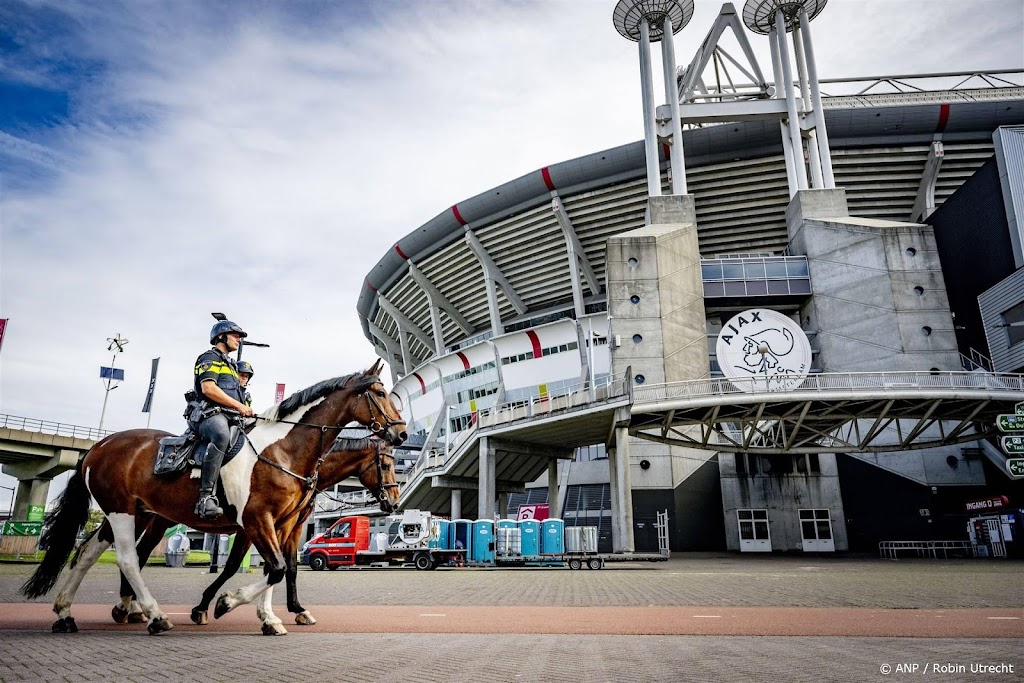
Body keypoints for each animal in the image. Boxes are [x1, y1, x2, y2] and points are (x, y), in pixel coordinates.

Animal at [19, 362, 403, 634]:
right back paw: (152, 614)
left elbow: (280, 568)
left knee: (87, 553)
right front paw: (221, 603)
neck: (283, 450)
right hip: (124, 513)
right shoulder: (255, 521)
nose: (401, 433)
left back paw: (68, 613)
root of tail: (99, 445)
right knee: (128, 559)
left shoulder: (284, 523)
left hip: (132, 514)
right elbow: (269, 567)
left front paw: (271, 617)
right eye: (380, 392)